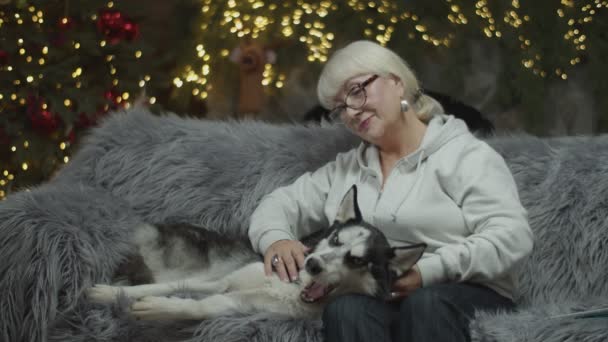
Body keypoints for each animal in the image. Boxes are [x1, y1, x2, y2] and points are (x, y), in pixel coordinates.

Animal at [88, 186, 426, 320]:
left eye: (357, 260)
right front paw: (112, 294)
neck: (290, 287)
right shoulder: (220, 281)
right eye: (334, 239)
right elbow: (168, 285)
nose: (312, 264)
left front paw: (163, 308)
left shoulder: (239, 305)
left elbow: (199, 306)